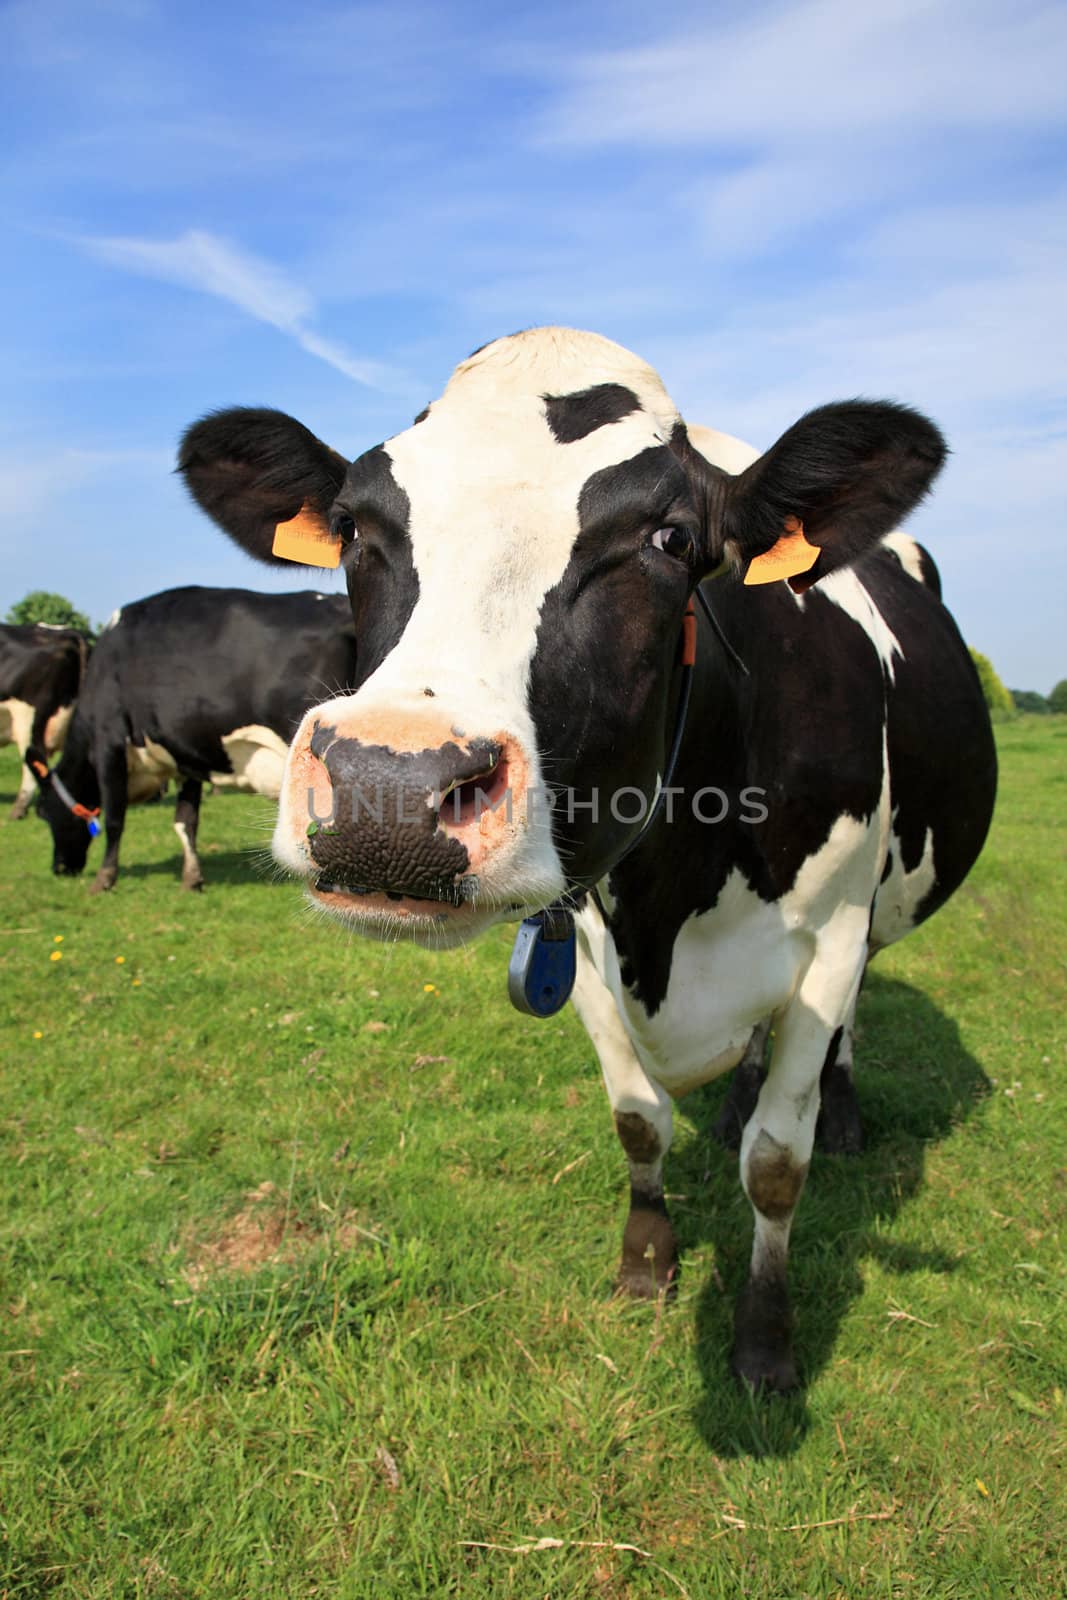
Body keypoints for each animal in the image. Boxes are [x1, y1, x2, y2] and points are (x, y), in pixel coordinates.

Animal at [30, 582, 358, 896]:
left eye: (43, 813)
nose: (60, 868)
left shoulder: (109, 742)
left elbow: (114, 819)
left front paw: (104, 879)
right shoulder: (186, 754)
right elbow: (186, 821)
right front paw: (192, 879)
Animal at [177, 328, 1004, 1388]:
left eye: (671, 541)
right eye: (357, 526)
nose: (387, 791)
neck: (674, 905)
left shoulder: (829, 939)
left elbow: (778, 1162)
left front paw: (765, 1340)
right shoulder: (582, 940)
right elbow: (637, 1118)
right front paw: (645, 1263)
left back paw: (844, 1109)